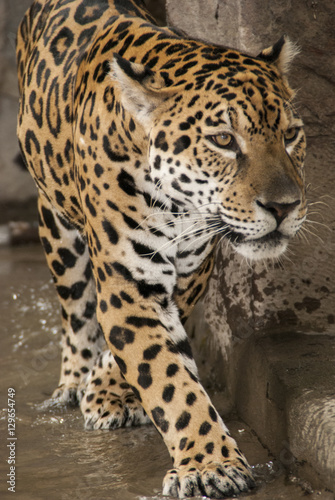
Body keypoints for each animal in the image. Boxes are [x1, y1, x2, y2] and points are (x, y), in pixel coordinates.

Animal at [17, 0, 308, 496]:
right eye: (223, 140)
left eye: (290, 135)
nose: (284, 207)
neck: (180, 207)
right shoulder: (128, 282)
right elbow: (170, 381)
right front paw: (211, 466)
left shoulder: (192, 272)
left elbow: (153, 355)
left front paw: (110, 389)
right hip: (55, 224)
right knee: (74, 309)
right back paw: (71, 383)